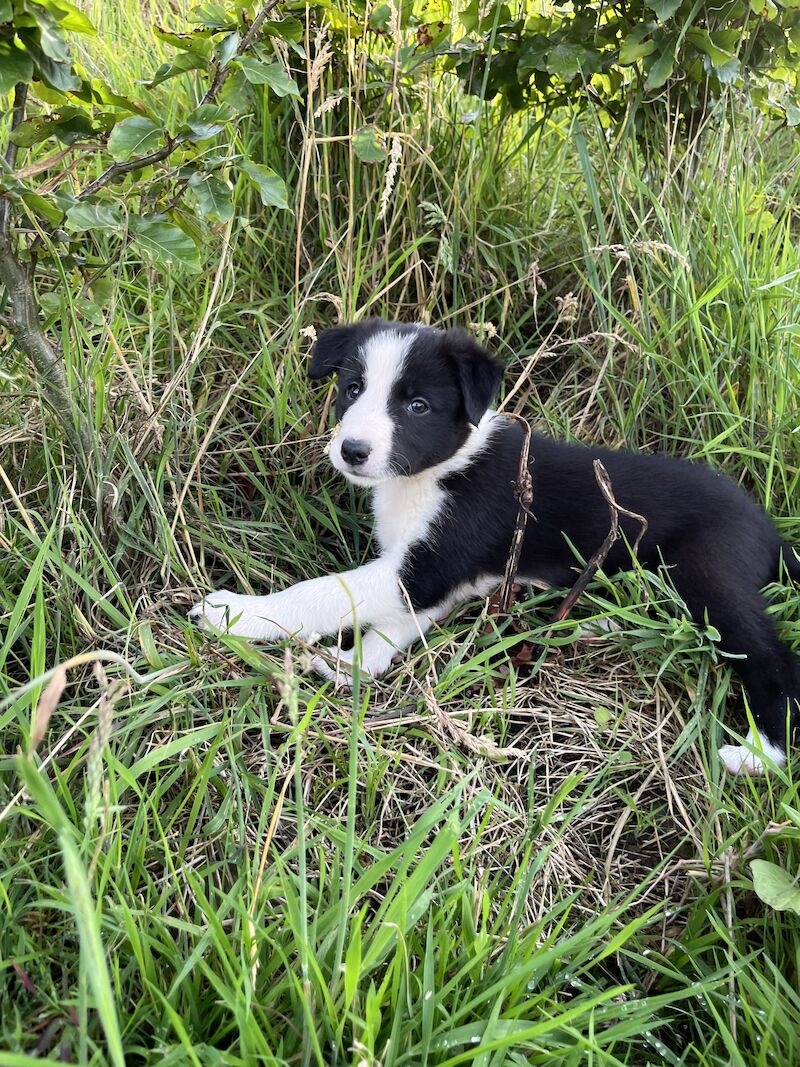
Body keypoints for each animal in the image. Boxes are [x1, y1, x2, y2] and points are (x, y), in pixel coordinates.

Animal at [193, 315, 800, 776]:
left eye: (417, 406)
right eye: (352, 389)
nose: (353, 451)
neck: (437, 472)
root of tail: (769, 530)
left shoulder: (425, 565)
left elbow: (321, 592)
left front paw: (235, 614)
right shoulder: (438, 579)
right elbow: (398, 623)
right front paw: (354, 663)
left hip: (707, 573)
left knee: (771, 659)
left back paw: (759, 754)